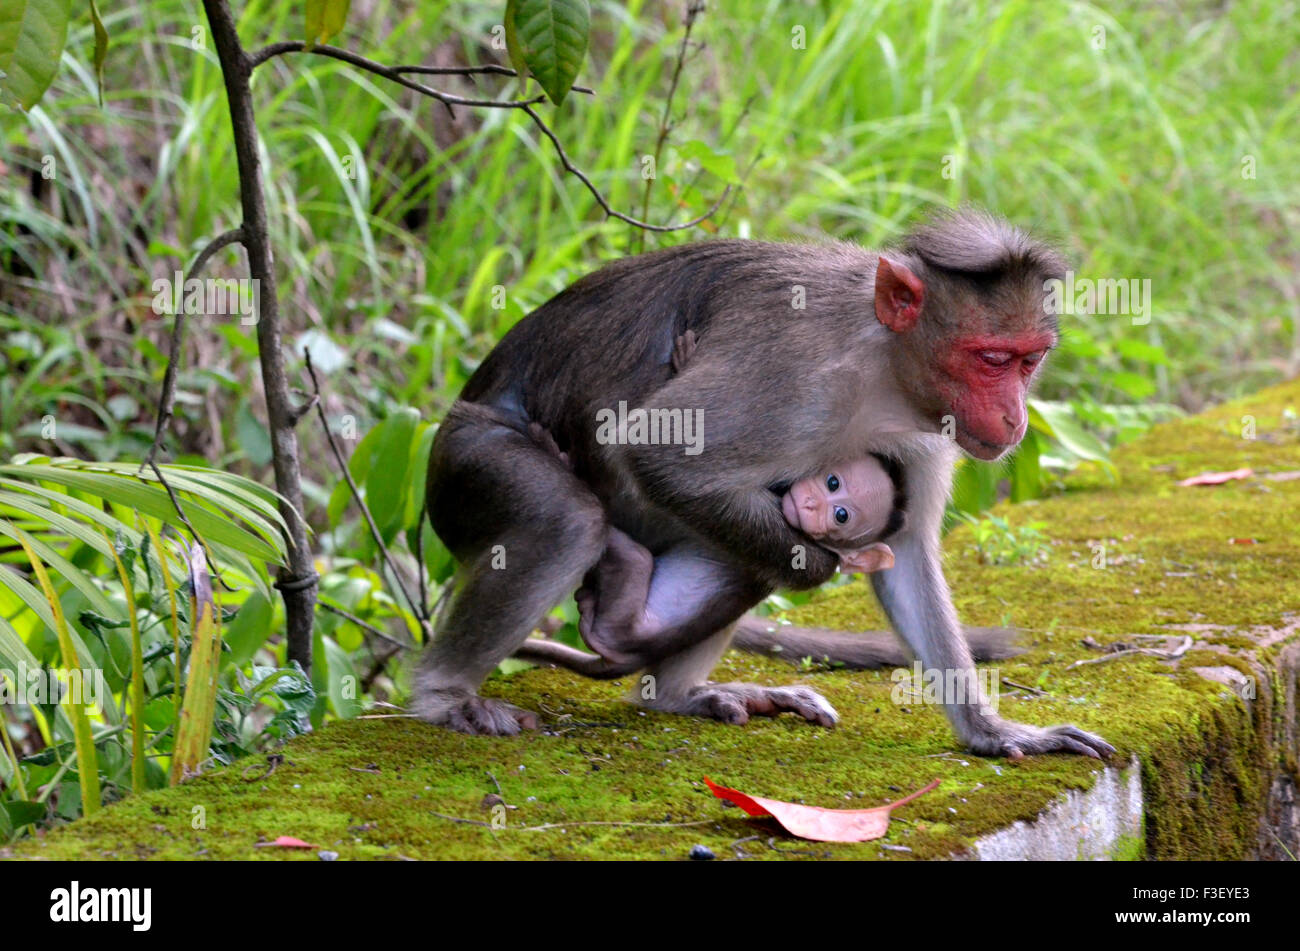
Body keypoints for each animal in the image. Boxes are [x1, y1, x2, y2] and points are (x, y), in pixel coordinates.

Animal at [419, 207, 1114, 760]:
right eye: (992, 359)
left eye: (1030, 360)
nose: (1015, 417)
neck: (885, 367)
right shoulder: (799, 376)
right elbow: (657, 450)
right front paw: (822, 566)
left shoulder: (927, 435)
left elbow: (908, 552)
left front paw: (993, 731)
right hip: (463, 463)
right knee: (565, 520)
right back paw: (442, 695)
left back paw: (675, 695)